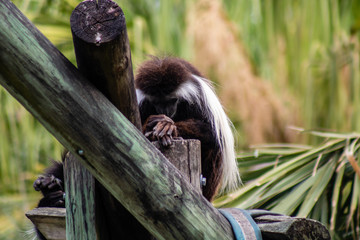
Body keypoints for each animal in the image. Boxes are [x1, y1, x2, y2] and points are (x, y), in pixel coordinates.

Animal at [32, 56, 240, 238]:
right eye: (158, 102)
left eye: (171, 100)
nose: (166, 110)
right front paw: (152, 124)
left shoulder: (199, 99)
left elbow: (211, 133)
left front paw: (168, 126)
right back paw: (50, 189)